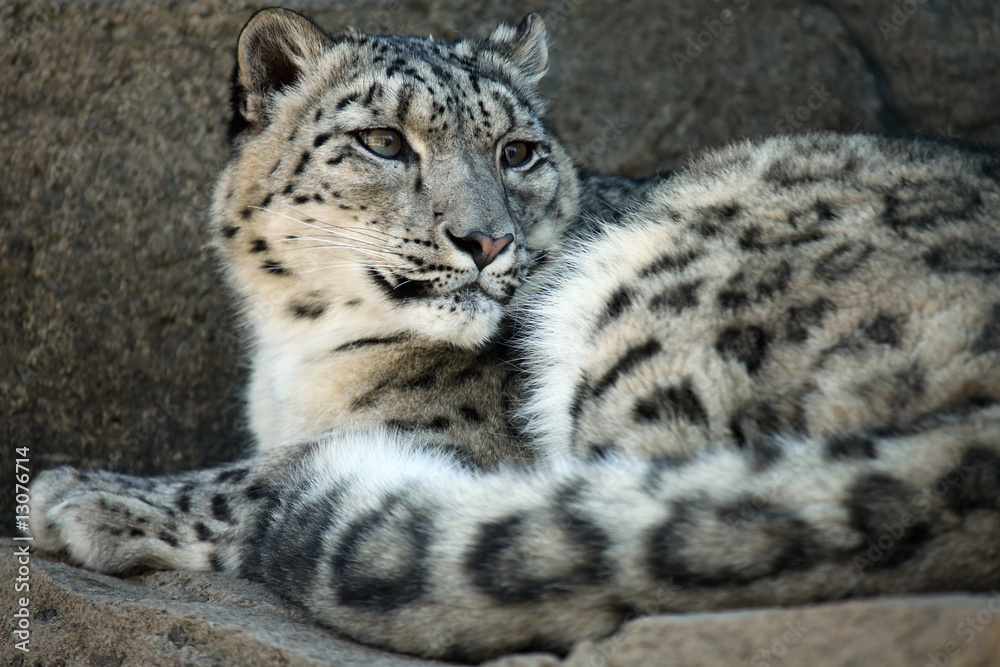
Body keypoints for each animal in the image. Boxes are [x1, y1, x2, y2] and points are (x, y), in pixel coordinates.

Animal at [28, 7, 1000, 662]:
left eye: (518, 151)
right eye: (384, 141)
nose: (487, 239)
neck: (294, 355)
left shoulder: (461, 437)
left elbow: (266, 470)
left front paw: (83, 492)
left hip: (656, 318)